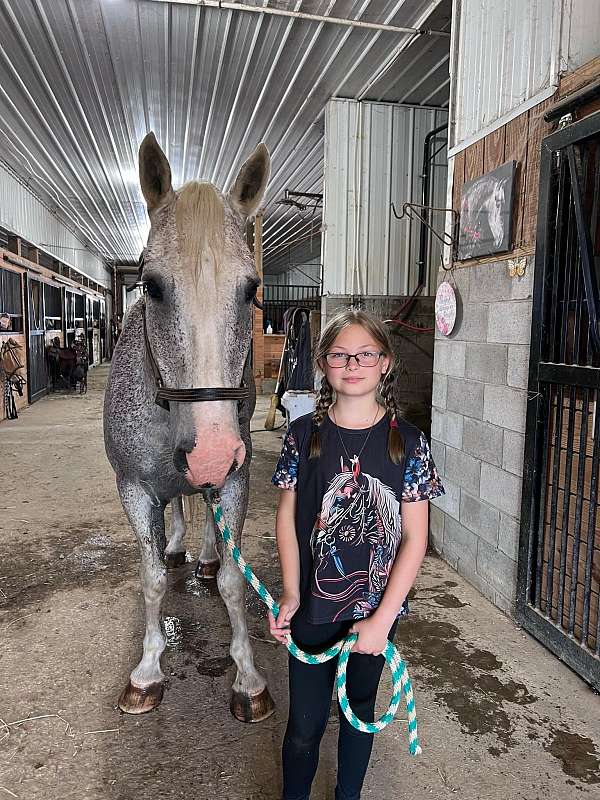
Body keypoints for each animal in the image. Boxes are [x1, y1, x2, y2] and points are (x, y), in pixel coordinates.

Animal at [103, 131, 274, 720]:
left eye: (250, 289)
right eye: (151, 286)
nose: (211, 454)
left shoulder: (236, 479)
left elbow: (232, 580)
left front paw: (248, 677)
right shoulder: (134, 488)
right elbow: (152, 578)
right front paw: (147, 671)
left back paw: (199, 553)